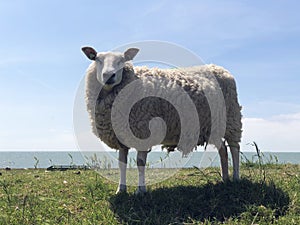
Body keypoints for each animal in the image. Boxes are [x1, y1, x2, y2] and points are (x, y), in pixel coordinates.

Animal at [81, 46, 241, 194]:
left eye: (122, 60)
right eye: (97, 59)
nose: (109, 75)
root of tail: (221, 69)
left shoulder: (143, 131)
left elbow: (140, 163)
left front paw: (141, 190)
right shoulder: (121, 136)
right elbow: (122, 164)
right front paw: (121, 190)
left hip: (232, 119)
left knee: (234, 148)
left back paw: (235, 178)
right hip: (214, 127)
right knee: (223, 149)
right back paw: (224, 179)